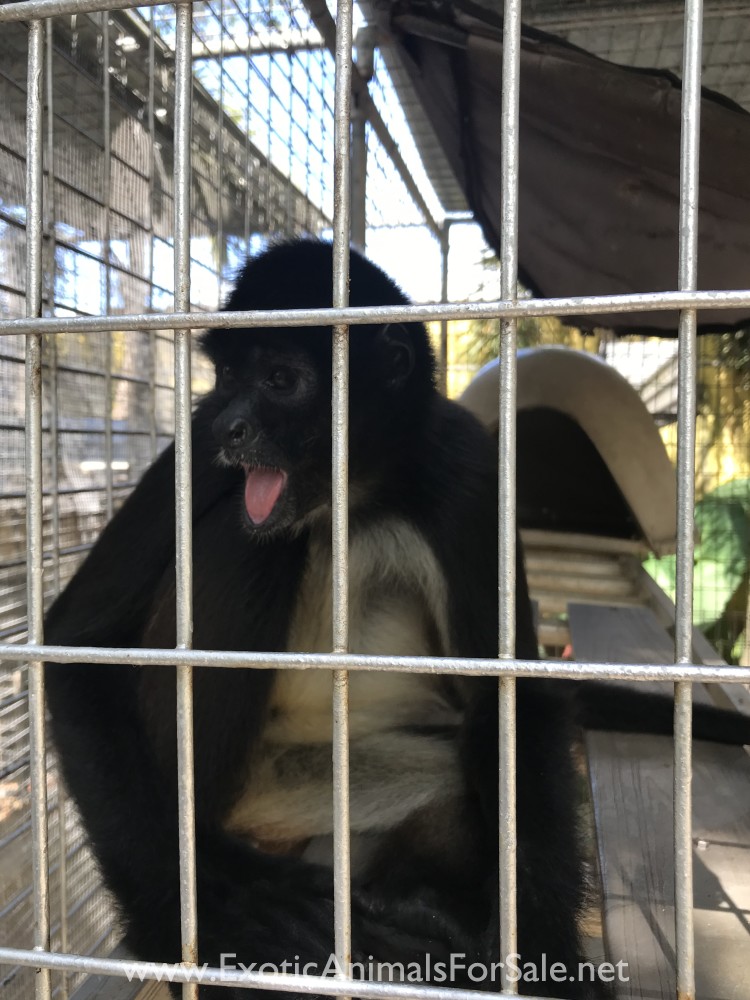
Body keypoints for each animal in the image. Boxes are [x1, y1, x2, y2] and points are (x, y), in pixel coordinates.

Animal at [44, 239, 750, 1000]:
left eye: (280, 379)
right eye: (228, 377)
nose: (233, 427)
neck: (353, 494)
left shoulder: (466, 465)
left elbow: (512, 701)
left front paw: (540, 953)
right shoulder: (199, 444)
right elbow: (77, 638)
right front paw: (174, 923)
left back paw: (416, 904)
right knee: (248, 543)